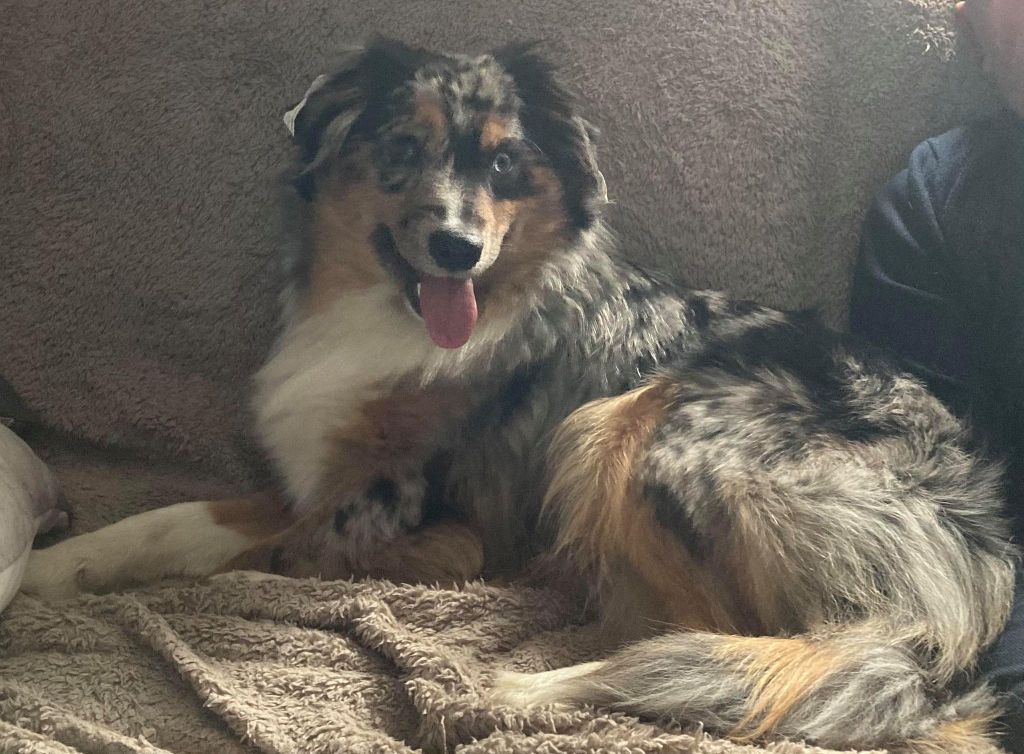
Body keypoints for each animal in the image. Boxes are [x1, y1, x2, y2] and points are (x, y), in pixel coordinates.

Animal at [21, 39, 1018, 753]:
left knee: (711, 632)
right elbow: (179, 516)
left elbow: (249, 546)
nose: (457, 247)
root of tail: (972, 581)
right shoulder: (317, 478)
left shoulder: (403, 519)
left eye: (505, 168)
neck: (388, 313)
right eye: (403, 148)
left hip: (635, 425)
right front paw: (55, 565)